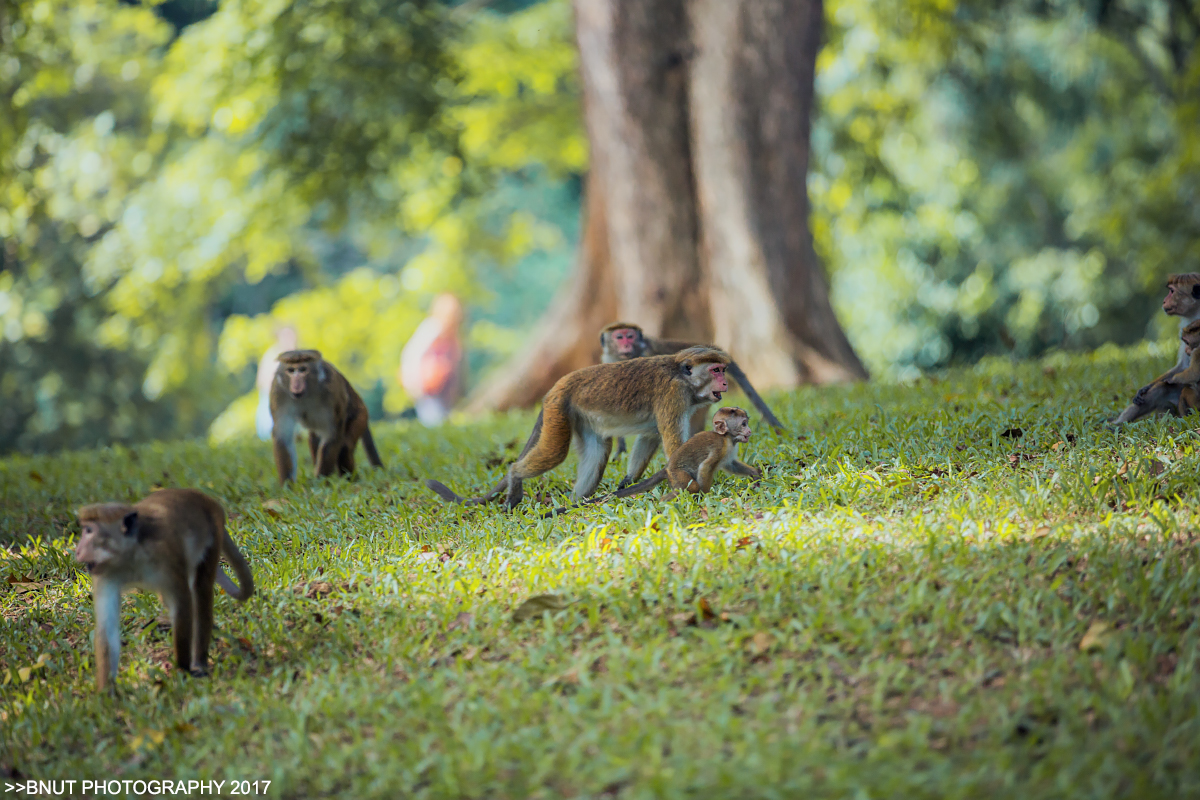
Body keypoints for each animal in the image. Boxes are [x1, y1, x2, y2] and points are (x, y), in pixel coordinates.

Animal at [73, 491, 254, 690]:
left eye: (89, 531)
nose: (78, 551)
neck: (130, 553)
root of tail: (206, 499)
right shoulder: (104, 572)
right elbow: (108, 628)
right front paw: (106, 692)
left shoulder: (167, 554)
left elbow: (183, 604)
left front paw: (182, 670)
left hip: (213, 534)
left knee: (201, 589)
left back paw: (199, 661)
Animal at [270, 347, 381, 484]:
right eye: (291, 370)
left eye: (303, 370)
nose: (296, 382)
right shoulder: (278, 391)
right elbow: (283, 436)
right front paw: (287, 485)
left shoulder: (331, 390)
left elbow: (332, 435)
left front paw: (321, 483)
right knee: (314, 440)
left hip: (361, 416)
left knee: (344, 447)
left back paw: (351, 480)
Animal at [427, 345, 734, 510]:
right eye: (716, 370)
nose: (725, 382)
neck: (682, 374)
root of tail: (558, 385)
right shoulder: (674, 394)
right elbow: (674, 448)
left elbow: (650, 436)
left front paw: (628, 481)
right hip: (559, 409)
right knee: (555, 452)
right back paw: (515, 478)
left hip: (578, 415)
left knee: (597, 452)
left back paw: (577, 502)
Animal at [542, 407, 758, 520]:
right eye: (743, 424)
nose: (749, 431)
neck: (727, 438)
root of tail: (667, 468)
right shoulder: (720, 447)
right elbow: (706, 467)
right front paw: (708, 496)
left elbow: (730, 464)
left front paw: (757, 475)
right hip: (678, 474)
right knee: (689, 486)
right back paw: (665, 502)